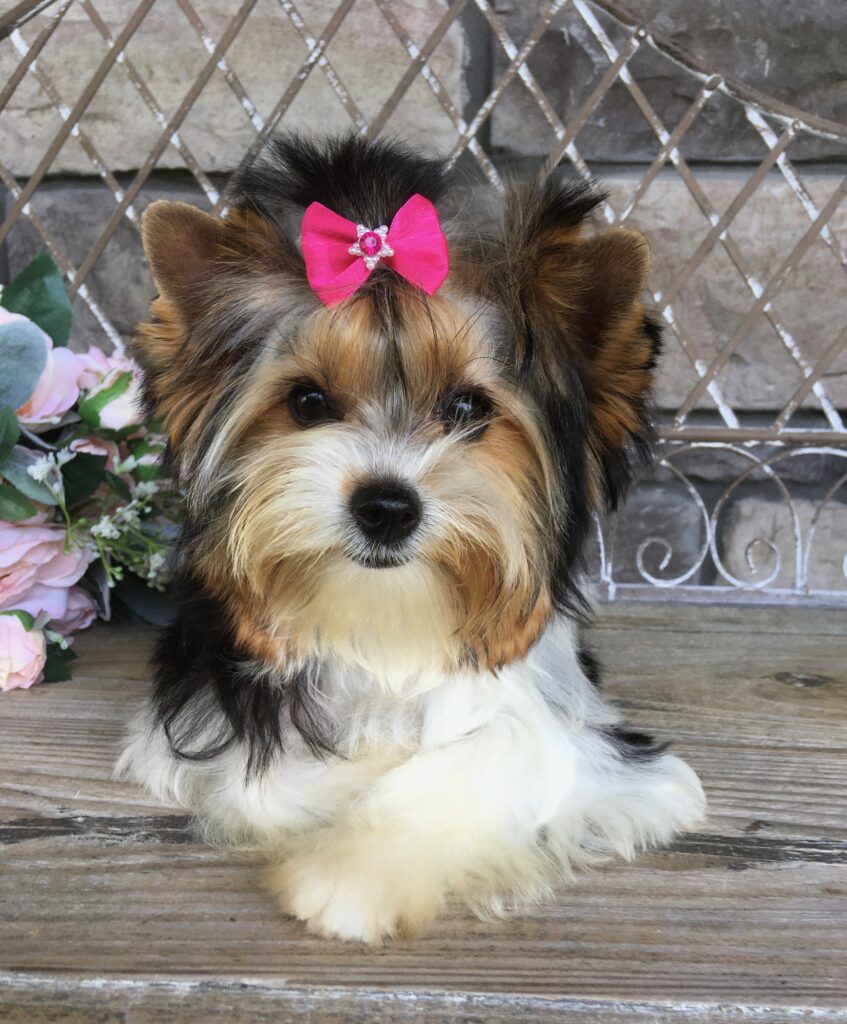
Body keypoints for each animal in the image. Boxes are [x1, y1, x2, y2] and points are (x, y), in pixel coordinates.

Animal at [118, 134, 705, 943]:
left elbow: (506, 744)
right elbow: (269, 777)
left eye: (466, 407)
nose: (387, 507)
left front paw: (348, 878)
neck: (385, 618)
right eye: (308, 401)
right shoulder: (194, 718)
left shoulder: (597, 744)